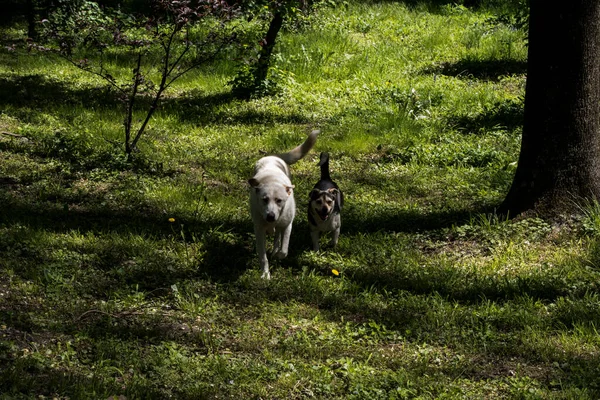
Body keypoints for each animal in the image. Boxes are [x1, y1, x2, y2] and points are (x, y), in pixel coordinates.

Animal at [248, 130, 318, 280]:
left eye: (279, 200)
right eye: (264, 199)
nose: (270, 216)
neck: (271, 180)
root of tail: (274, 156)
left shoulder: (287, 225)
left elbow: (284, 249)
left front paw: (278, 255)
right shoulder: (259, 229)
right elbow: (263, 256)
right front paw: (265, 274)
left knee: (277, 237)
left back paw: (275, 249)